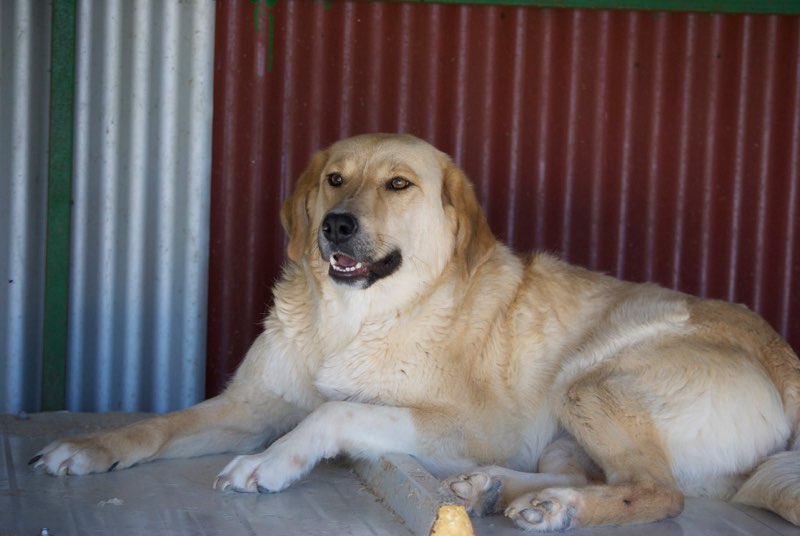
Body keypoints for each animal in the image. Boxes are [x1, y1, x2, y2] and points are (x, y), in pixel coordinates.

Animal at [31, 135, 800, 532]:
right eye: (334, 178)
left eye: (398, 185)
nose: (335, 224)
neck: (356, 320)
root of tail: (782, 353)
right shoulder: (248, 405)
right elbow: (157, 425)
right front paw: (87, 448)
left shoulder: (469, 423)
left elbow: (336, 412)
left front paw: (271, 463)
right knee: (594, 472)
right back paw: (491, 489)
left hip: (590, 383)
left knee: (657, 490)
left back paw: (553, 507)